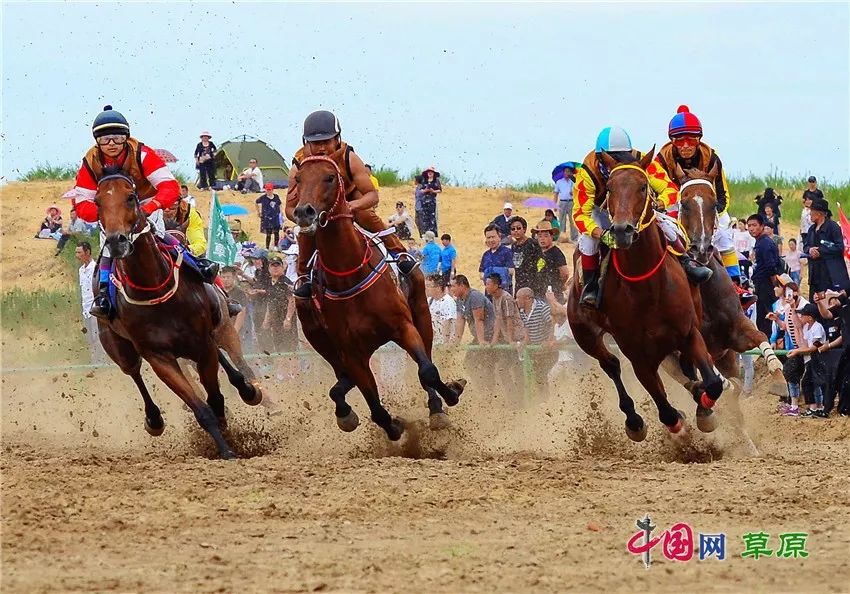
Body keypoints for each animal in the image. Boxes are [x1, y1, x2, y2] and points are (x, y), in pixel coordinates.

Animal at [94, 172, 264, 458]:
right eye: (97, 203)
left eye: (130, 197)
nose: (116, 242)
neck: (158, 290)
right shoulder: (160, 357)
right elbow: (201, 407)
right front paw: (225, 448)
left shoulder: (207, 339)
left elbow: (217, 393)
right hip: (118, 347)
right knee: (134, 372)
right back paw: (154, 419)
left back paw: (247, 389)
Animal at [292, 154, 464, 440]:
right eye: (298, 179)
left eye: (330, 177)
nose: (304, 212)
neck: (349, 273)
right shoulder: (352, 353)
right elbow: (375, 406)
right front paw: (393, 426)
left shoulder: (403, 327)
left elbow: (428, 371)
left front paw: (449, 396)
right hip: (317, 335)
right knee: (340, 379)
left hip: (421, 313)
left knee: (426, 357)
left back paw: (437, 407)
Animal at [564, 150, 724, 438]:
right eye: (610, 189)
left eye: (643, 186)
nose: (621, 230)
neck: (647, 287)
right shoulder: (637, 353)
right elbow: (665, 409)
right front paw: (674, 418)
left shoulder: (689, 332)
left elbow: (712, 382)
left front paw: (704, 409)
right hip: (584, 334)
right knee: (610, 364)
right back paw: (634, 419)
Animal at [664, 163, 780, 394]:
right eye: (685, 204)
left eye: (713, 204)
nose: (700, 248)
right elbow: (709, 370)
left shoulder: (736, 331)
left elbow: (761, 337)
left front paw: (778, 377)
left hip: (728, 357)